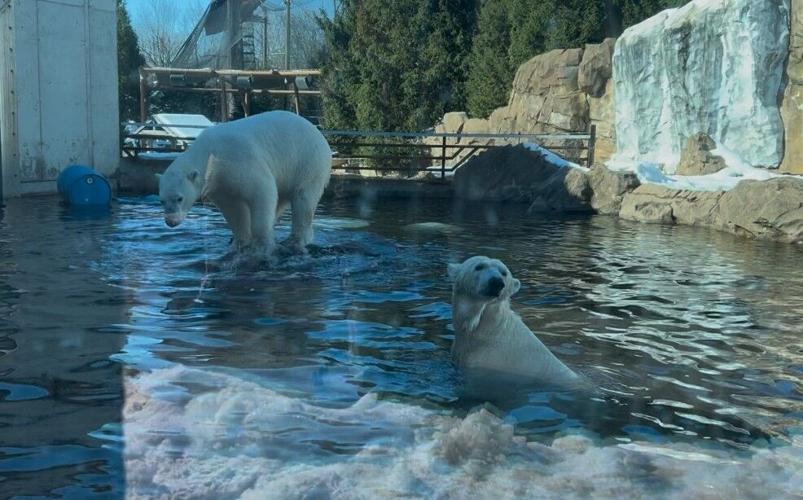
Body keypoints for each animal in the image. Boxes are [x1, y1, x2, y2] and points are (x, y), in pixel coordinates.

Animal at [157, 110, 332, 255]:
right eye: (162, 200)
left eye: (179, 198)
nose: (170, 221)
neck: (210, 152)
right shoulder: (219, 183)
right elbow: (233, 208)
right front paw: (239, 243)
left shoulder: (237, 160)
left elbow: (262, 190)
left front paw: (261, 245)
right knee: (280, 200)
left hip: (307, 163)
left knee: (303, 200)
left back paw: (295, 241)